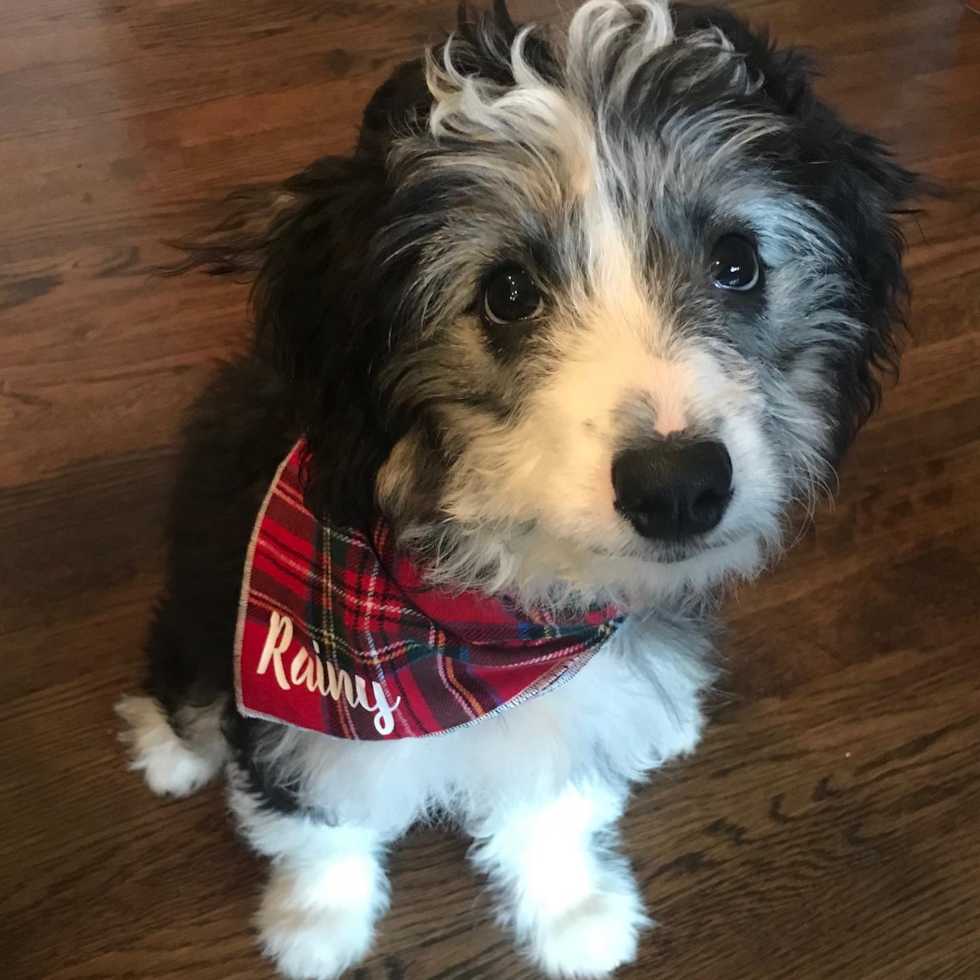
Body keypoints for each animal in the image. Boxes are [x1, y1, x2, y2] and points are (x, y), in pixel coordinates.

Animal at [117, 1, 920, 980]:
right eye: (506, 293)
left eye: (737, 263)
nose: (679, 488)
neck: (488, 625)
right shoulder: (300, 707)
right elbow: (322, 820)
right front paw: (316, 926)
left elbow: (555, 799)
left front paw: (571, 909)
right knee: (182, 668)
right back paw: (170, 746)